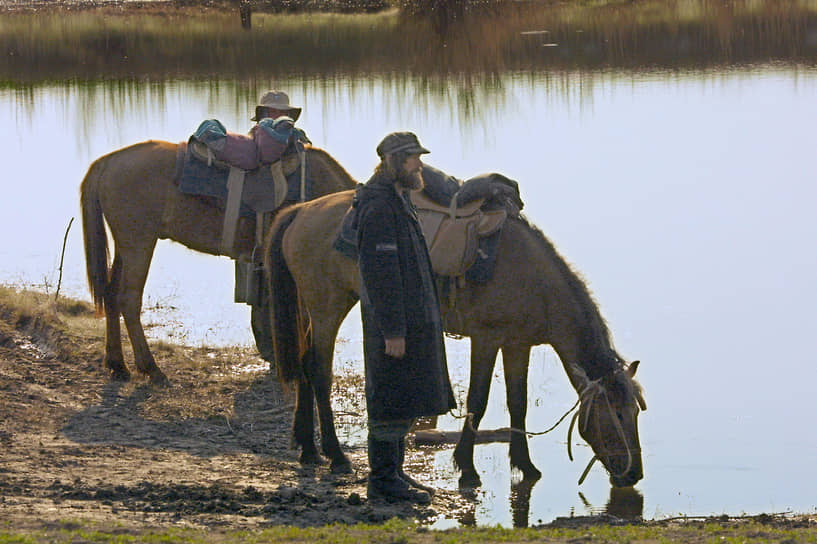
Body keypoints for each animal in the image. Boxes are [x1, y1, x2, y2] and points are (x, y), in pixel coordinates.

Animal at [79, 141, 354, 386]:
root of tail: (108, 161)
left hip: (125, 247)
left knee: (111, 295)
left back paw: (117, 365)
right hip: (139, 243)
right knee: (129, 300)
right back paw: (151, 369)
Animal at [264, 190, 648, 484]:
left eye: (635, 412)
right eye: (614, 414)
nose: (634, 475)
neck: (534, 278)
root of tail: (301, 211)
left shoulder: (517, 344)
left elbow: (518, 402)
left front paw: (525, 465)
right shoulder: (487, 339)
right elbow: (478, 400)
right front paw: (466, 467)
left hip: (316, 308)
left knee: (304, 365)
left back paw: (308, 449)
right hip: (328, 306)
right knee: (319, 372)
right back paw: (334, 454)